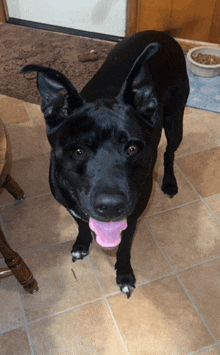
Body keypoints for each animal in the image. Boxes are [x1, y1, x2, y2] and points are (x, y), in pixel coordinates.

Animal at [21, 30, 189, 298]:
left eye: (132, 148)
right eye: (78, 152)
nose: (110, 207)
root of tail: (161, 33)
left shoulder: (132, 219)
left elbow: (124, 248)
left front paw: (124, 275)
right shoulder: (71, 205)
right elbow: (81, 225)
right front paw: (81, 244)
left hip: (175, 121)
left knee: (169, 153)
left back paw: (169, 182)